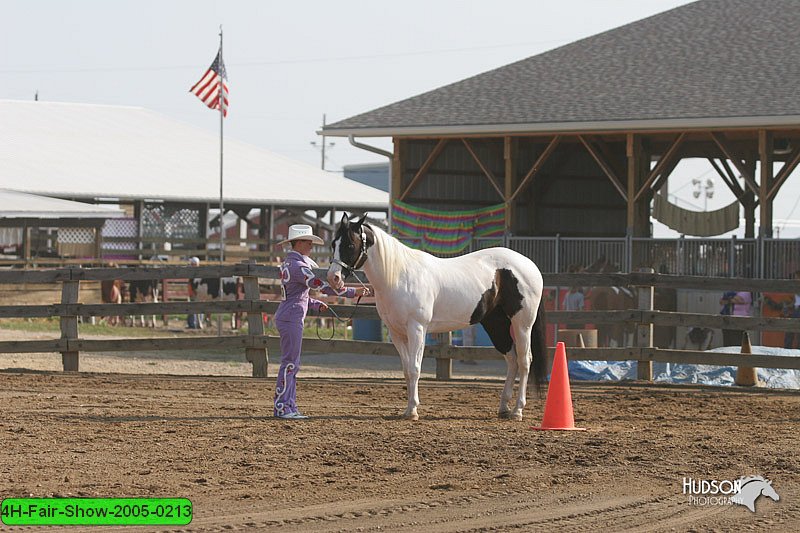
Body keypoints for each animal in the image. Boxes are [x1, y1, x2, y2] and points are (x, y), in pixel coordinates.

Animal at [324, 215, 544, 420]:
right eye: (333, 244)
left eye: (350, 245)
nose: (333, 278)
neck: (399, 276)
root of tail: (530, 265)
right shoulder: (396, 334)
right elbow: (406, 370)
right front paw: (408, 409)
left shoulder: (417, 329)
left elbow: (415, 369)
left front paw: (412, 411)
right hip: (496, 324)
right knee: (512, 360)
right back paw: (504, 407)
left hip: (522, 324)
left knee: (524, 361)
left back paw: (517, 411)